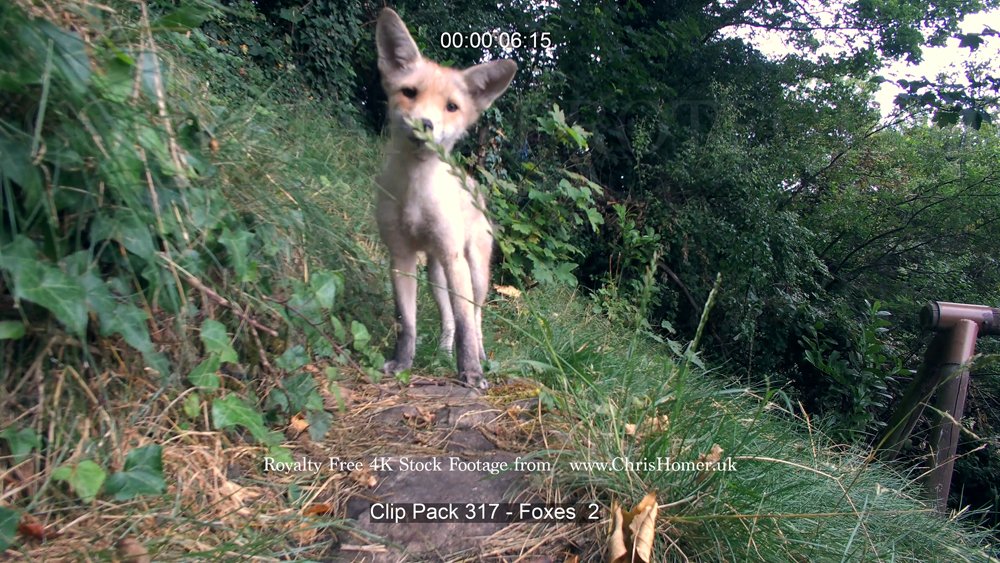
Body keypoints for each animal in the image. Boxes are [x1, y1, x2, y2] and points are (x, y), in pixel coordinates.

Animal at [374, 8, 516, 389]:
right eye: (409, 92)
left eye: (452, 107)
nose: (425, 124)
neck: (414, 194)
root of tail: (474, 185)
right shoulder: (401, 257)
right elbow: (406, 323)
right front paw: (402, 363)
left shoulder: (454, 259)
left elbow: (467, 324)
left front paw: (470, 372)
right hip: (435, 274)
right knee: (449, 317)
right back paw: (441, 352)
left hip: (474, 272)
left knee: (476, 317)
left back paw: (480, 357)